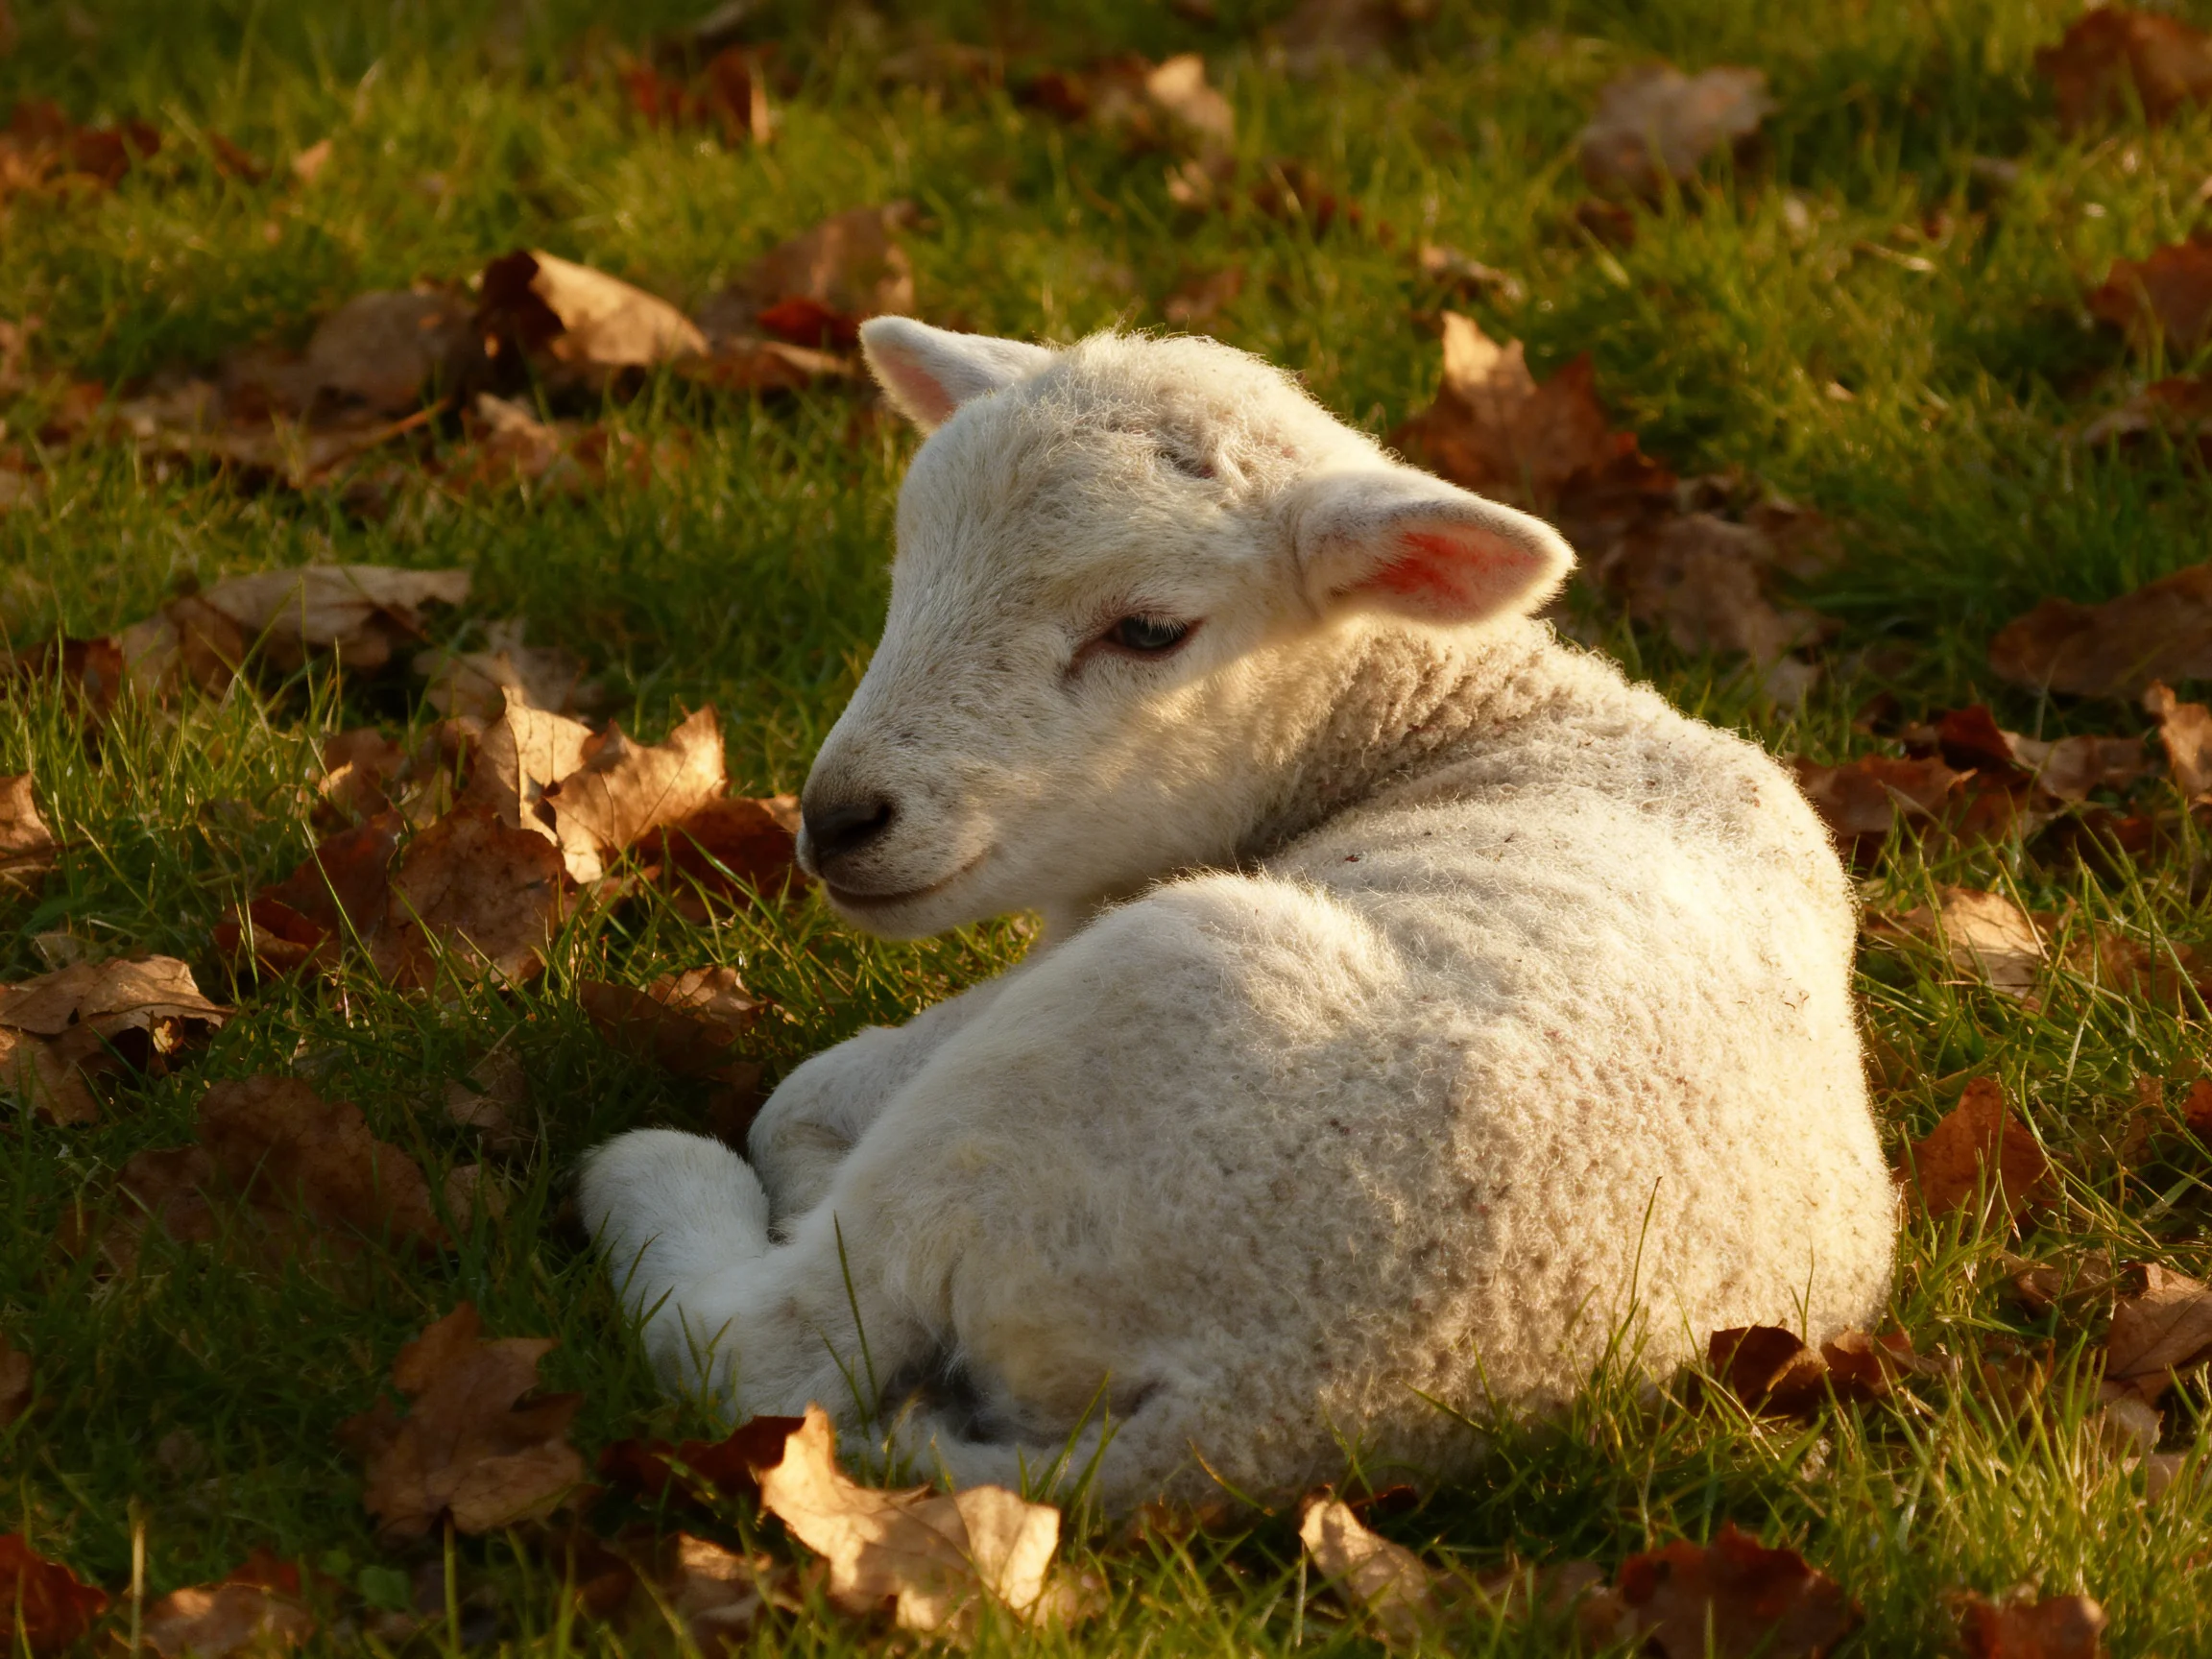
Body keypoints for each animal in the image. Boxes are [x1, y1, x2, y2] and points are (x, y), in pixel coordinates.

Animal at [580, 319, 1897, 1512]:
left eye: (1151, 631)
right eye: (909, 570)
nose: (842, 818)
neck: (1438, 722)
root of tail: (1256, 1407)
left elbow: (804, 1098)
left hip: (1108, 1039)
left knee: (766, 1346)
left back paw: (656, 1179)